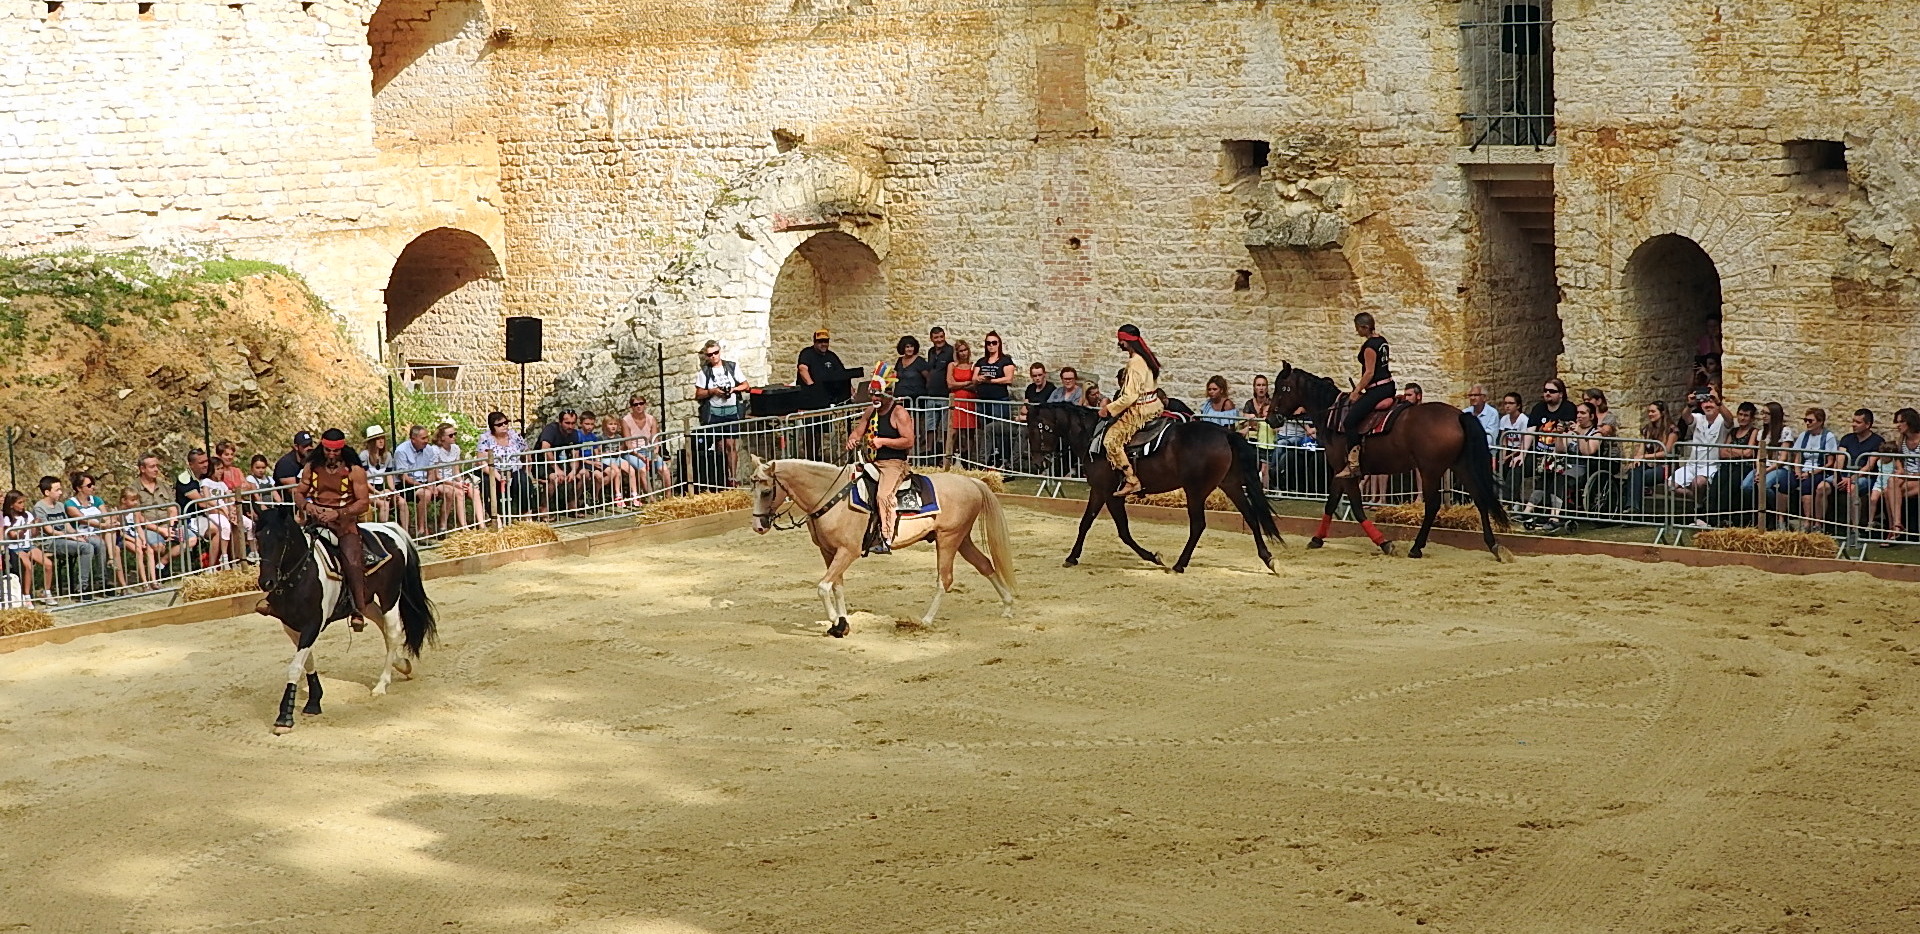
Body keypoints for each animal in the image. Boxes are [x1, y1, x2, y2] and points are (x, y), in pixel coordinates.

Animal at [254, 506, 438, 734]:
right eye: (258, 537)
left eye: (281, 538)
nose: (266, 582)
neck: (302, 575)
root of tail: (389, 527)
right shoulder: (291, 627)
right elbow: (307, 661)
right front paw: (314, 701)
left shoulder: (313, 625)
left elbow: (296, 666)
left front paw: (284, 718)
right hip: (366, 601)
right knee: (383, 627)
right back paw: (402, 664)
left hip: (390, 595)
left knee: (392, 631)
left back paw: (381, 684)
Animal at [749, 457, 1015, 638]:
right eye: (752, 489)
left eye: (766, 490)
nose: (758, 526)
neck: (832, 496)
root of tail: (971, 481)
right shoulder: (829, 552)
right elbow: (837, 588)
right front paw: (842, 624)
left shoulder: (847, 552)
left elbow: (823, 587)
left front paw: (835, 622)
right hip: (962, 539)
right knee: (985, 565)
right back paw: (1007, 606)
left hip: (949, 539)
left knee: (945, 579)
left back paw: (926, 620)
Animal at [1026, 402, 1283, 573]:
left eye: (1038, 428)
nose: (1038, 463)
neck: (1092, 437)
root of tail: (1224, 433)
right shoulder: (1099, 492)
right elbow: (1085, 524)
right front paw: (1072, 556)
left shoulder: (1110, 494)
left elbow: (1123, 532)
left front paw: (1154, 557)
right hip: (1229, 484)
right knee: (1250, 516)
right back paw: (1268, 558)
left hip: (1195, 491)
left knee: (1198, 525)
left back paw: (1179, 564)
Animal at [1265, 362, 1511, 561]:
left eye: (1283, 389)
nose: (1270, 418)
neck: (1333, 417)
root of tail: (1459, 415)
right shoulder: (1340, 471)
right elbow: (1331, 502)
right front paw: (1317, 539)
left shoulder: (1346, 471)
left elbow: (1356, 507)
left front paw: (1385, 543)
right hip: (1460, 466)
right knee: (1480, 499)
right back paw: (1494, 546)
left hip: (1430, 470)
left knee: (1432, 505)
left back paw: (1417, 547)